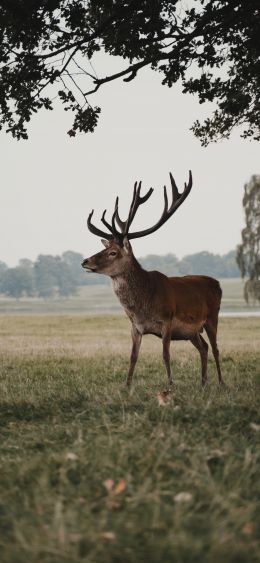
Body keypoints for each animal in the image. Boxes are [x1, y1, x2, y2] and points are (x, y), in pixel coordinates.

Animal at [82, 172, 224, 390]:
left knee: (216, 348)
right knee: (204, 347)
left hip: (212, 317)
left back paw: (221, 383)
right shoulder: (135, 326)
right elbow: (133, 357)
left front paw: (170, 386)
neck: (143, 305)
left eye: (113, 252)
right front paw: (126, 387)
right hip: (191, 332)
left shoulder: (167, 321)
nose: (85, 261)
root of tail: (217, 284)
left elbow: (165, 355)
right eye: (105, 248)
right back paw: (203, 383)